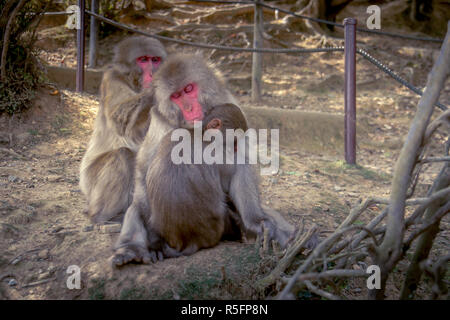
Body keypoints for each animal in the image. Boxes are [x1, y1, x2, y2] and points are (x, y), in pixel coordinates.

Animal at [79, 35, 167, 222]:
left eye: (155, 60)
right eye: (143, 60)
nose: (152, 73)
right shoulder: (111, 78)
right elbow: (119, 118)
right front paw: (155, 89)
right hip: (89, 181)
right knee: (122, 155)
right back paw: (102, 215)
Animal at [112, 53, 296, 266]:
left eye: (188, 89)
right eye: (176, 96)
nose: (189, 107)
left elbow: (244, 163)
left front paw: (255, 221)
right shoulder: (160, 123)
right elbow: (143, 170)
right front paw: (153, 240)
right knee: (136, 207)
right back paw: (131, 249)